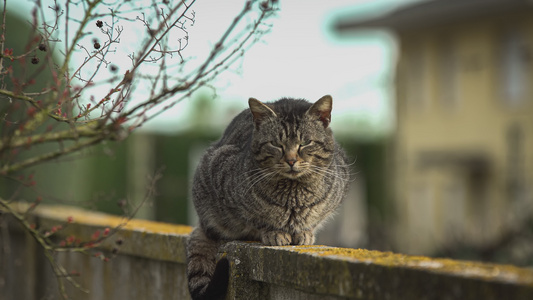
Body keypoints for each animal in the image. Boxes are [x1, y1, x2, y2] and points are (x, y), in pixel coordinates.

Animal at [186, 95, 350, 298]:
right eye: (276, 144)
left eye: (305, 143)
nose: (291, 160)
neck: (293, 192)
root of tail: (201, 223)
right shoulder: (226, 189)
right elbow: (255, 219)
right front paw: (274, 232)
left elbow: (313, 220)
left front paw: (305, 232)